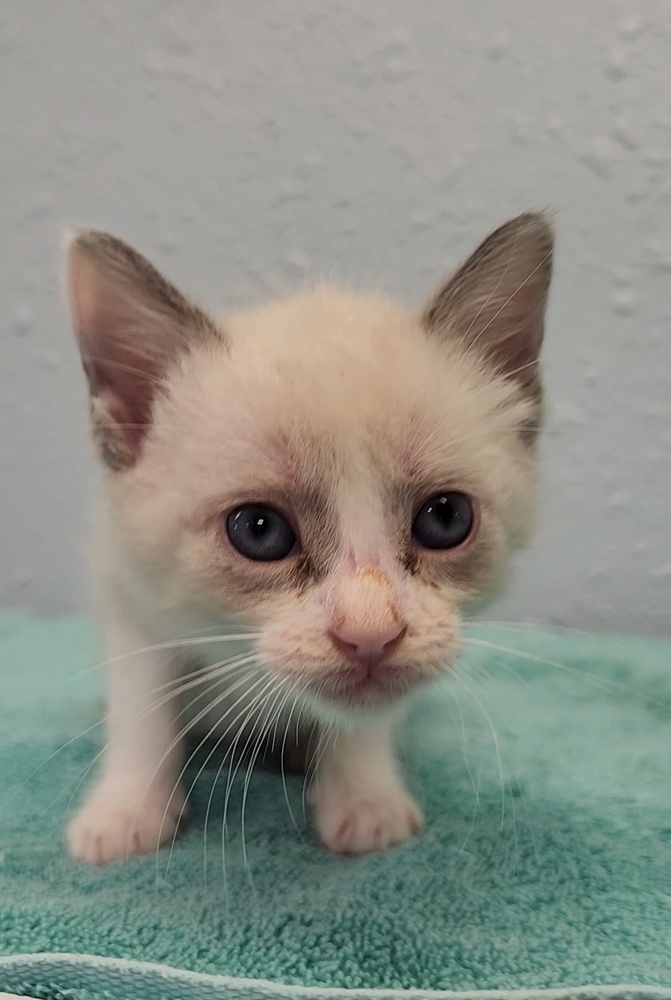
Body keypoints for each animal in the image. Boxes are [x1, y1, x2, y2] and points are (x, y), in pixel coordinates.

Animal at [64, 213, 552, 868]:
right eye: (259, 530)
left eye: (445, 518)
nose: (371, 635)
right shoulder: (127, 593)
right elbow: (142, 706)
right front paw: (125, 812)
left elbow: (368, 719)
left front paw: (364, 799)